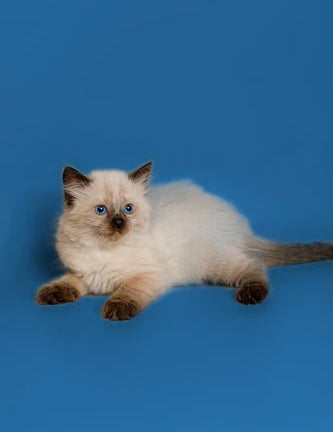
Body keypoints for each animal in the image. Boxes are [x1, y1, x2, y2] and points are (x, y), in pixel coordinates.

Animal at [36, 162, 332, 320]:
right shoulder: (81, 273)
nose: (119, 223)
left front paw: (116, 310)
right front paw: (49, 295)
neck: (105, 251)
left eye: (129, 209)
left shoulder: (148, 275)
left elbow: (127, 291)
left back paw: (250, 295)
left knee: (256, 266)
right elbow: (65, 282)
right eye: (101, 210)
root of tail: (240, 225)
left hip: (214, 263)